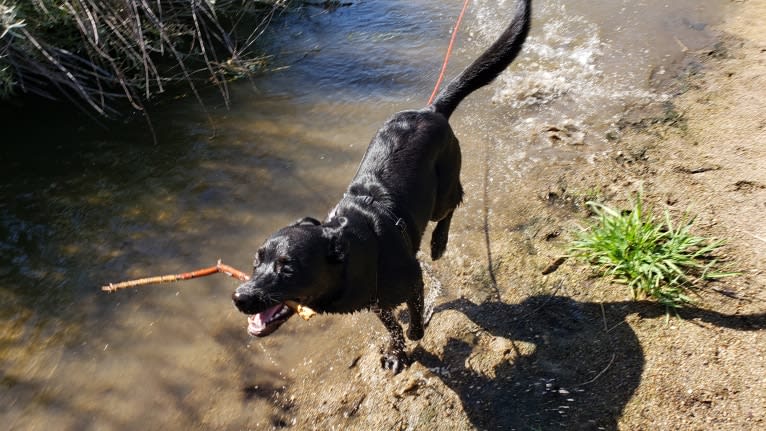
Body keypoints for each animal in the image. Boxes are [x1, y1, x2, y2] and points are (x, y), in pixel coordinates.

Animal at [234, 0, 536, 372]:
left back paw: (438, 242)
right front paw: (396, 351)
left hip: (443, 188)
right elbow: (393, 324)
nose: (239, 296)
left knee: (453, 203)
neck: (356, 250)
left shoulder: (413, 279)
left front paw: (414, 336)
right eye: (256, 260)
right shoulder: (377, 300)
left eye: (288, 267)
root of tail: (431, 109)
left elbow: (416, 317)